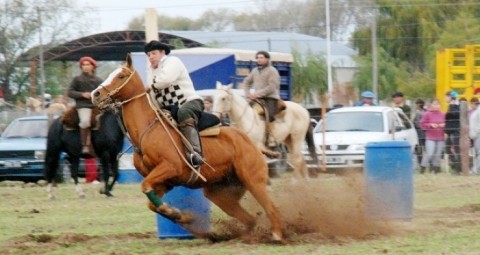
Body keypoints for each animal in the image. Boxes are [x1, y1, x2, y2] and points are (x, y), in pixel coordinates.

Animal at [92, 53, 284, 241]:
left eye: (121, 75)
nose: (96, 94)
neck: (147, 131)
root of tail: (252, 143)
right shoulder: (164, 182)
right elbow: (152, 204)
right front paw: (180, 215)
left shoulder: (169, 167)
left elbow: (145, 187)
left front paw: (177, 214)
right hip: (220, 192)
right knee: (248, 218)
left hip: (253, 180)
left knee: (271, 207)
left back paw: (276, 235)